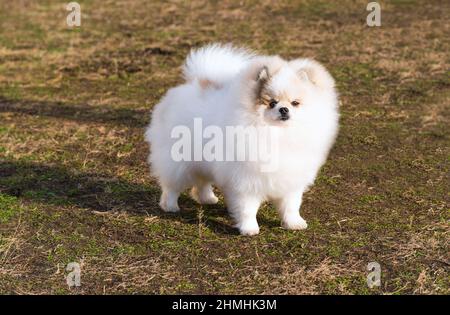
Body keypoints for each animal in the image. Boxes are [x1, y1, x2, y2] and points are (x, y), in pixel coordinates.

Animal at [146, 45, 340, 237]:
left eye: (295, 103)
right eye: (272, 103)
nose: (284, 109)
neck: (276, 134)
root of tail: (195, 84)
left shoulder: (291, 180)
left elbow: (291, 206)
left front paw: (294, 223)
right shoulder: (246, 181)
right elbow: (248, 209)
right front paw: (249, 229)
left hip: (202, 161)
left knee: (202, 181)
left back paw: (208, 198)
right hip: (178, 162)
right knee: (172, 186)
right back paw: (170, 206)